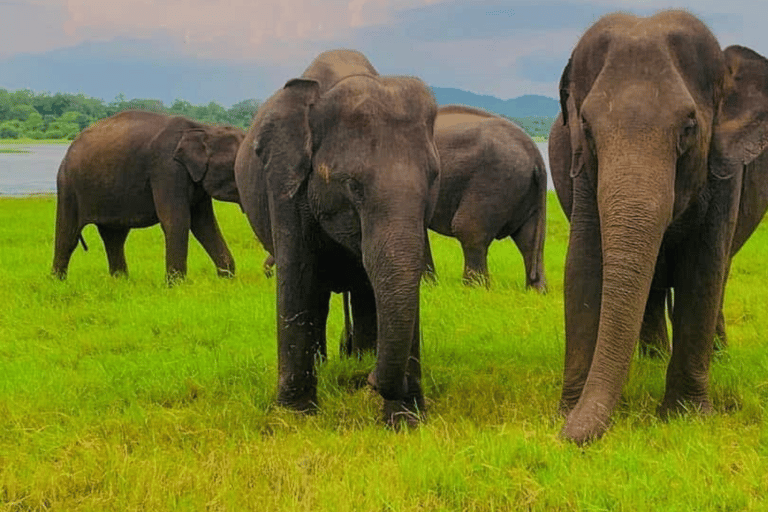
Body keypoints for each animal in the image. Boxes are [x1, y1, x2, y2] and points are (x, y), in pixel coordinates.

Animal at [52, 109, 244, 282]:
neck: (205, 128)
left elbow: (204, 224)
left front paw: (226, 279)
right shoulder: (167, 168)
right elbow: (177, 220)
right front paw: (175, 285)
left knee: (114, 237)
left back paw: (120, 281)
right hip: (68, 185)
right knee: (68, 236)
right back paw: (58, 283)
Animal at [232, 49, 438, 424]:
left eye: (433, 179)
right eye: (353, 186)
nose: (372, 381)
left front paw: (405, 422)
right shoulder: (284, 180)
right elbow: (298, 276)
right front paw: (295, 418)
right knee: (318, 295)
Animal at [428, 105, 548, 292]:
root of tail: (536, 156)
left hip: (495, 179)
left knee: (468, 229)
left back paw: (474, 290)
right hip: (527, 191)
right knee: (530, 239)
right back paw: (537, 292)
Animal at [556, 11, 768, 444]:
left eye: (688, 127)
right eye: (586, 127)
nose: (564, 438)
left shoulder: (724, 171)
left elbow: (703, 271)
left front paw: (686, 418)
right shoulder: (582, 169)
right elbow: (583, 266)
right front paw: (567, 411)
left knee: (721, 274)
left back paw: (714, 356)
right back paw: (652, 358)